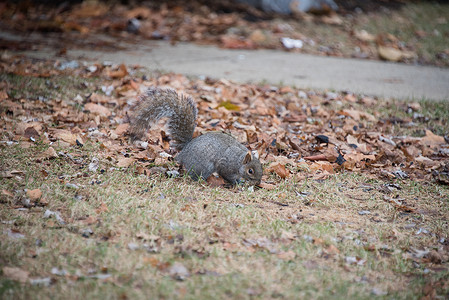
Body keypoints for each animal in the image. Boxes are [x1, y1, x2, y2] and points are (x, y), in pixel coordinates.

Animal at [130, 86, 262, 185]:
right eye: (250, 171)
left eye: (261, 167)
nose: (258, 183)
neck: (239, 160)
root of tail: (183, 153)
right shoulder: (226, 165)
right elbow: (227, 175)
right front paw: (236, 183)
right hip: (204, 166)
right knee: (194, 175)